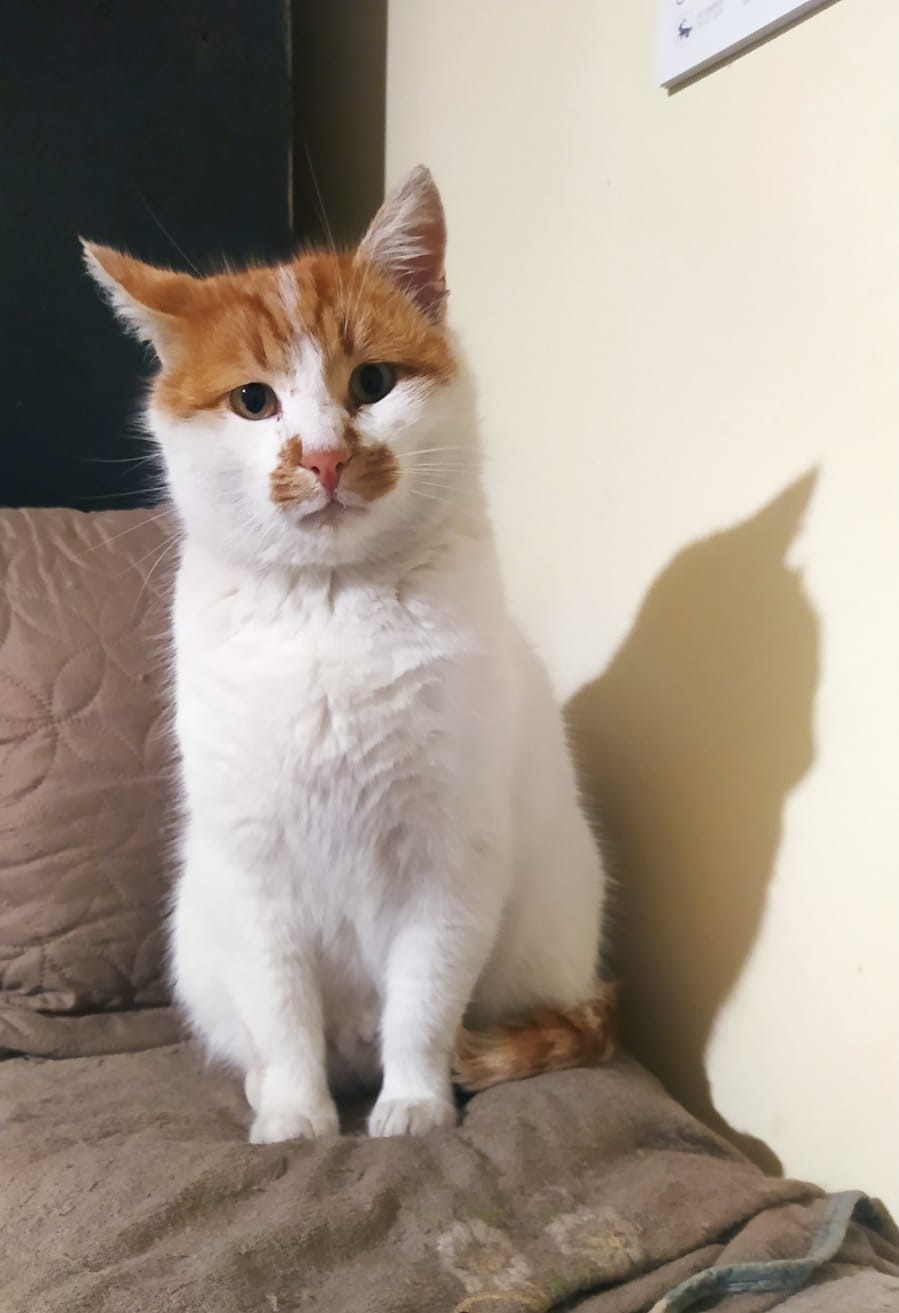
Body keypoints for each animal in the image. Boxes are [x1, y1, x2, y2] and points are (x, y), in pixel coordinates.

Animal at [84, 166, 615, 1144]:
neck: (330, 615)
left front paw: (413, 1106)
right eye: (253, 400)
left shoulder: (450, 862)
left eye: (372, 381)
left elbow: (422, 1004)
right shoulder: (256, 873)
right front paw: (297, 1117)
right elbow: (283, 1015)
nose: (326, 458)